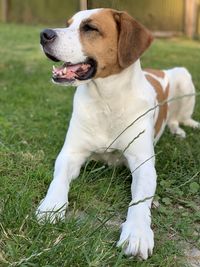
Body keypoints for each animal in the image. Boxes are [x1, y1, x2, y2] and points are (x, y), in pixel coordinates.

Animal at [36, 7, 199, 260]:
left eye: (90, 28)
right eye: (68, 23)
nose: (44, 34)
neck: (107, 100)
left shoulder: (143, 164)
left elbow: (140, 201)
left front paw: (137, 232)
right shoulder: (70, 154)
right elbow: (58, 180)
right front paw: (51, 206)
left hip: (183, 77)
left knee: (178, 117)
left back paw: (179, 129)